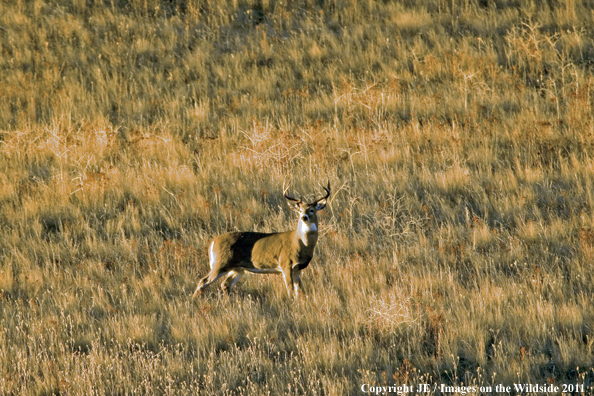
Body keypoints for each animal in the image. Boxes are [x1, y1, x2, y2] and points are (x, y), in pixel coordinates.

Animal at [193, 184, 328, 298]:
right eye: (300, 210)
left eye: (312, 210)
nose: (304, 217)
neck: (299, 242)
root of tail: (213, 242)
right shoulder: (285, 263)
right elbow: (290, 290)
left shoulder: (298, 269)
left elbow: (299, 291)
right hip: (220, 263)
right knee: (203, 281)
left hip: (238, 269)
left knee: (225, 284)